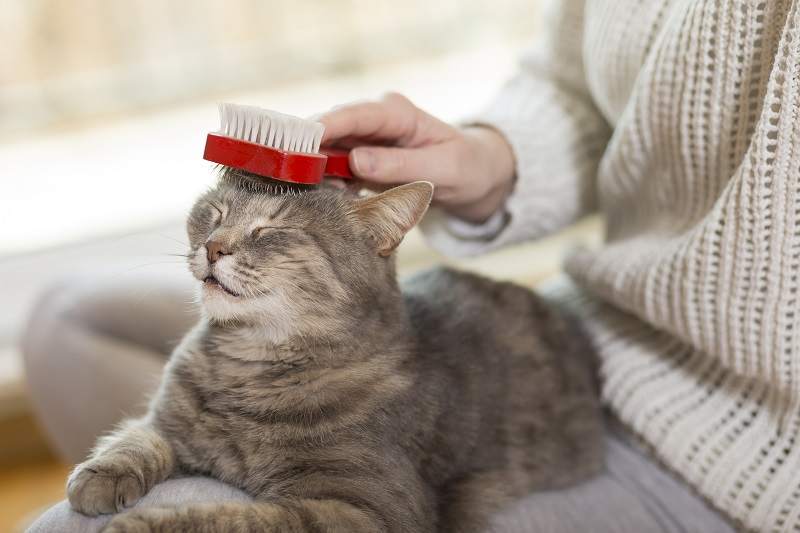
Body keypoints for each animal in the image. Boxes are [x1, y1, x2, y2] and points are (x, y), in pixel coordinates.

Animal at [67, 172, 608, 528]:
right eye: (214, 214)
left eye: (269, 229)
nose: (214, 246)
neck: (249, 367)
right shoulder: (168, 424)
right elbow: (134, 439)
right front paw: (98, 476)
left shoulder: (368, 510)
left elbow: (242, 520)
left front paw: (143, 524)